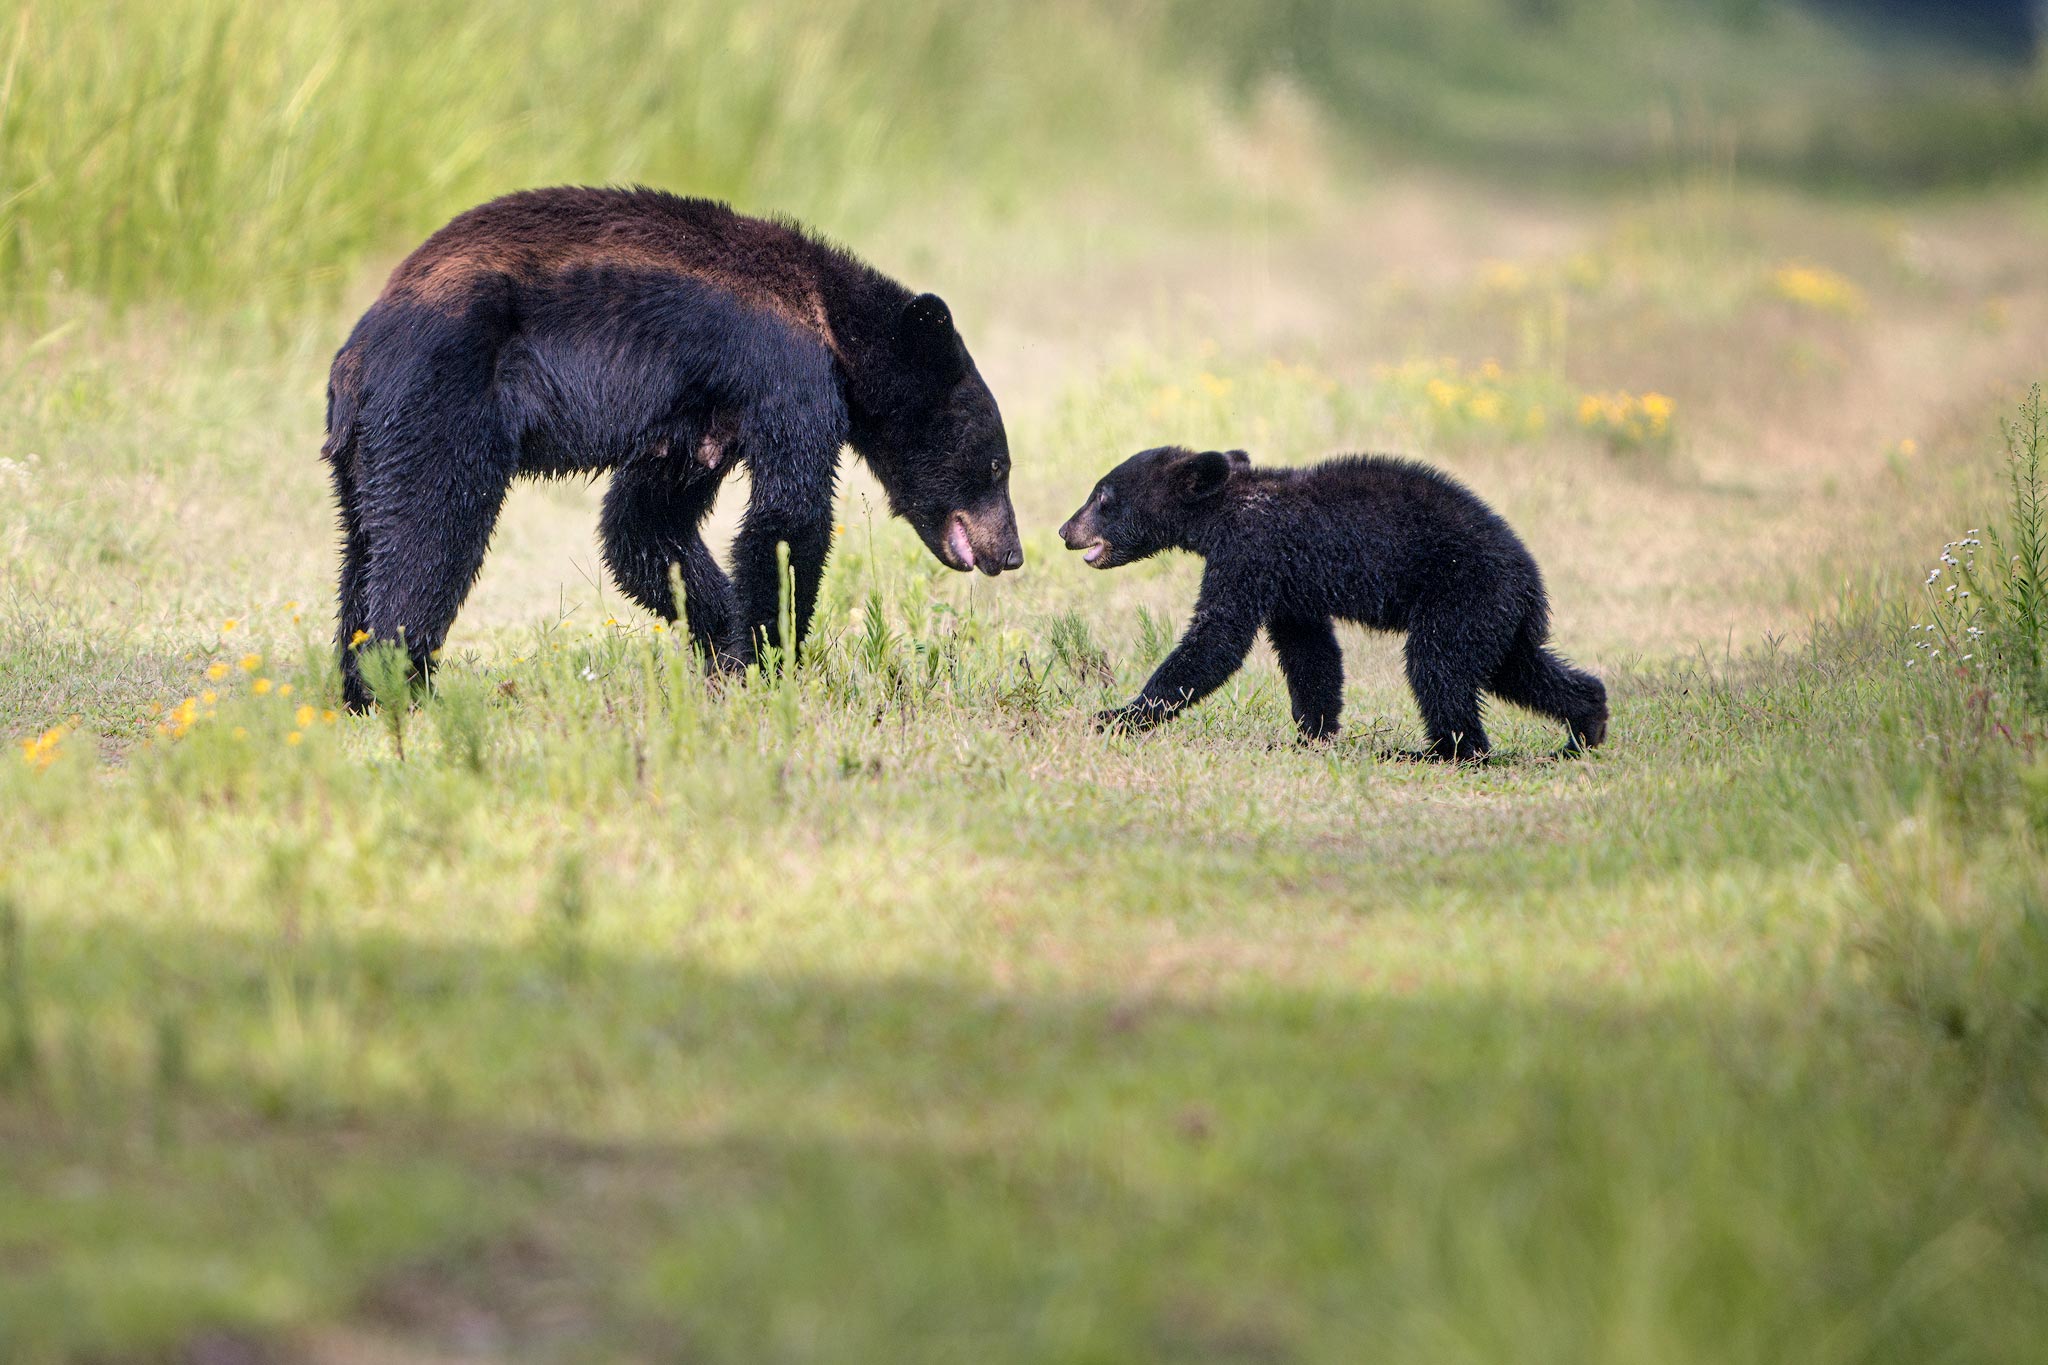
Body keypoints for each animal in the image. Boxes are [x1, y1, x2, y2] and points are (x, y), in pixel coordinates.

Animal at [323, 185, 1019, 712]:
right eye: (996, 466)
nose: (1010, 552)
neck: (828, 313)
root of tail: (355, 360)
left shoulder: (696, 420)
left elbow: (646, 524)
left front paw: (721, 640)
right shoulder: (784, 366)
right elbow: (788, 518)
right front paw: (769, 656)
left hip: (363, 454)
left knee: (365, 546)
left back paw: (359, 692)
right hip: (442, 404)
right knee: (430, 534)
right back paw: (403, 686)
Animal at [1064, 454, 1605, 765]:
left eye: (1102, 496)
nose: (1065, 530)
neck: (1227, 507)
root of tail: (1531, 584)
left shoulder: (1251, 552)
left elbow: (1217, 639)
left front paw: (1117, 716)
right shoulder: (1288, 583)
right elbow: (1310, 652)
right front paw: (1312, 736)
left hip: (1463, 596)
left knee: (1439, 669)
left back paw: (1435, 753)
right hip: (1495, 617)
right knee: (1517, 669)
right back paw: (1585, 727)